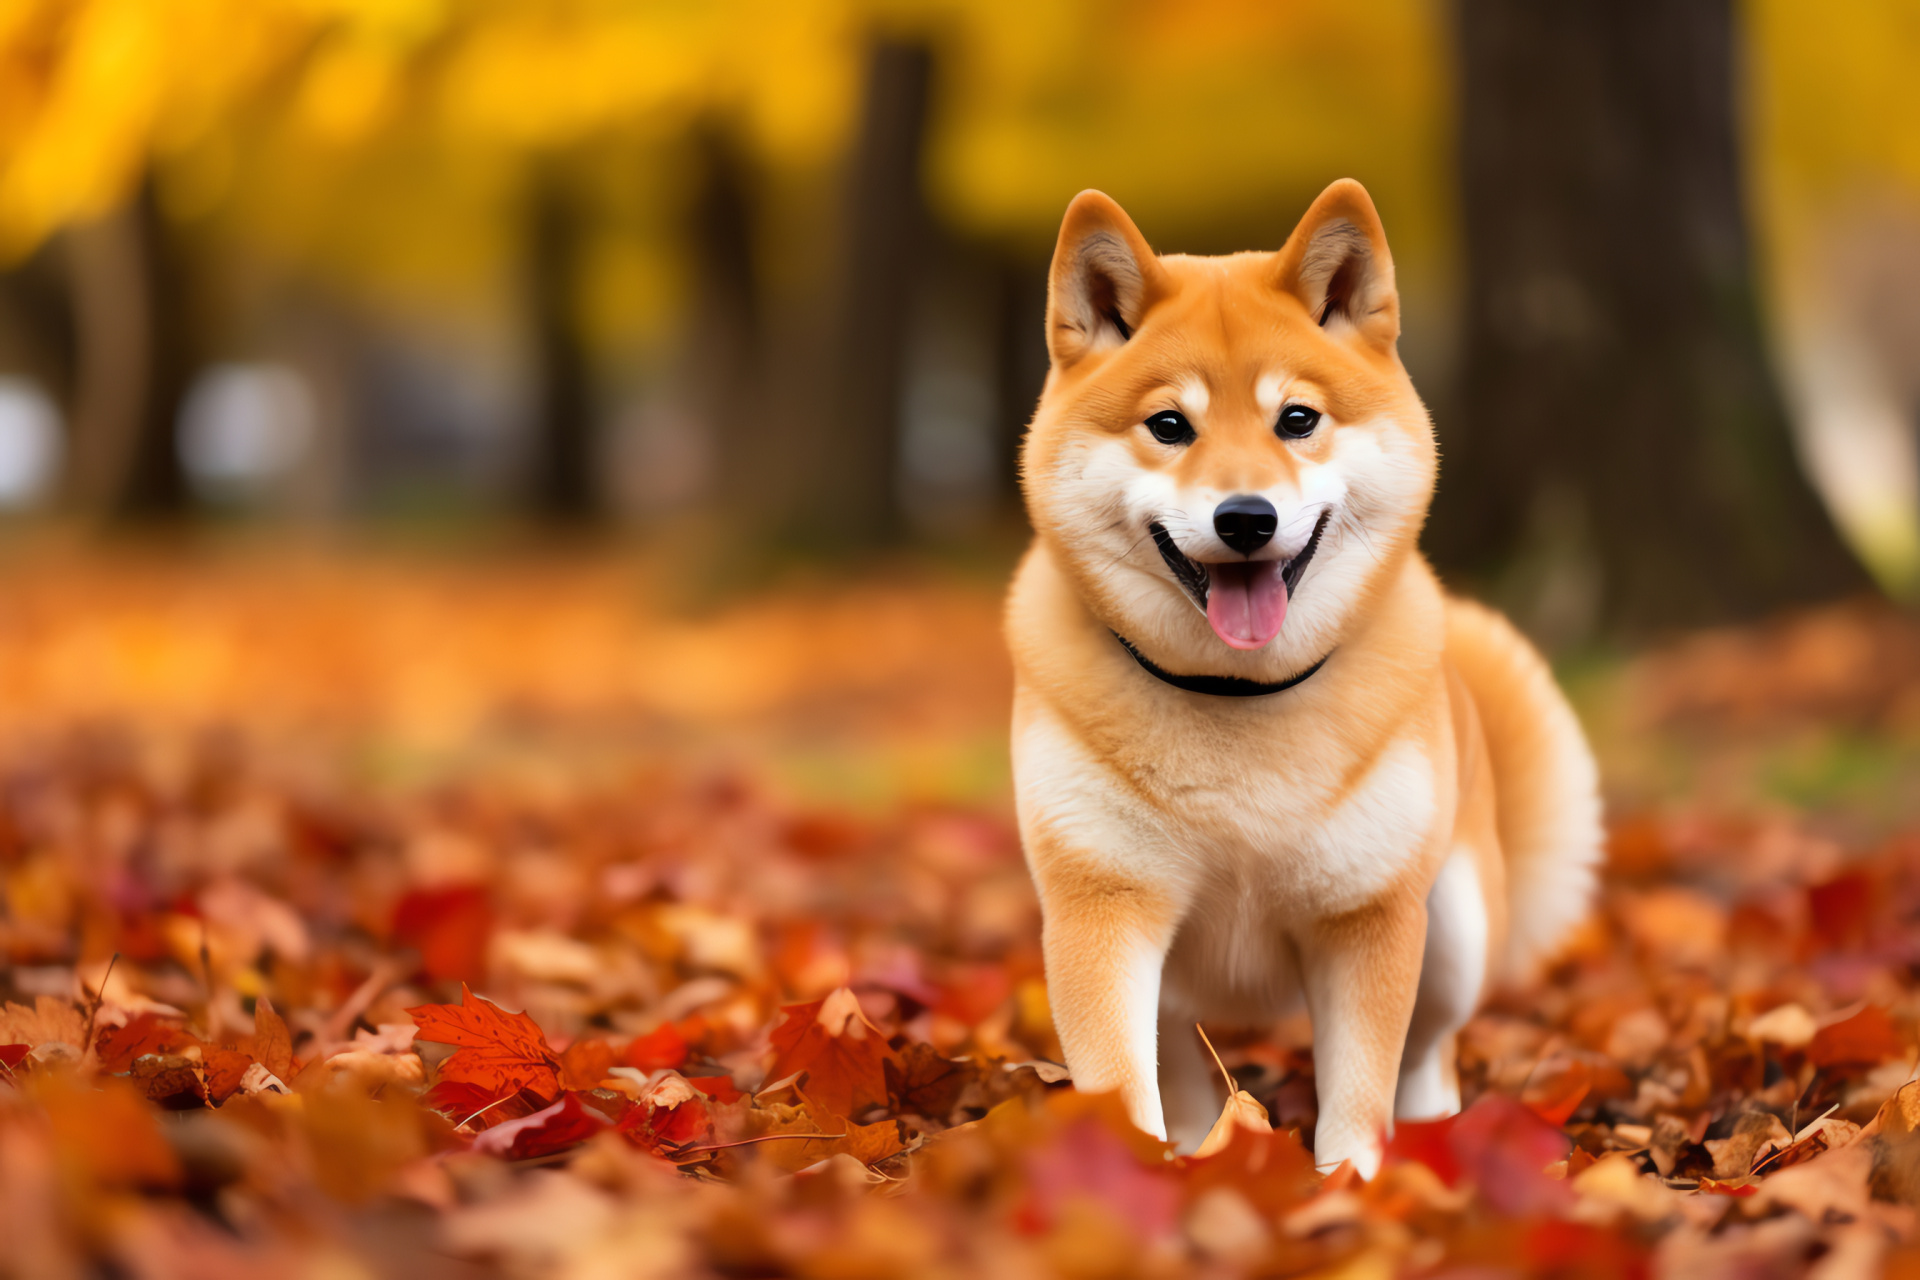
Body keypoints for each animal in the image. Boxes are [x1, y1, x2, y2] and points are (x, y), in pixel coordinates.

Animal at [1006, 175, 1605, 1174]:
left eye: (1297, 419)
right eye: (1169, 426)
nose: (1246, 517)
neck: (1238, 699)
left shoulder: (1367, 916)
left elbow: (1360, 1089)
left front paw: (1348, 1188)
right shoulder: (1104, 906)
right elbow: (1122, 1083)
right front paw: (1133, 1176)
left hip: (1455, 925)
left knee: (1431, 1046)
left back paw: (1435, 1130)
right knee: (1181, 1063)